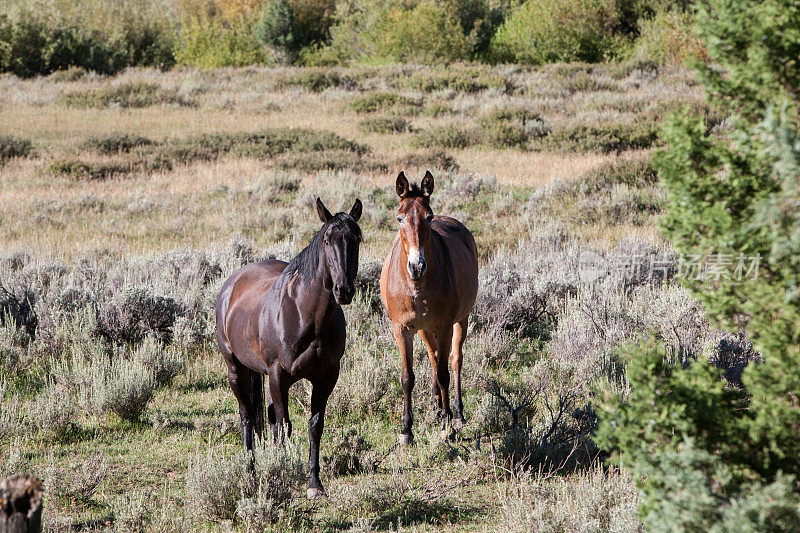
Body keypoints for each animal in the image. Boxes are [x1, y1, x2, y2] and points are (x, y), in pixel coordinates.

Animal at [214, 197, 360, 496]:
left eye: (357, 238)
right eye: (327, 240)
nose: (343, 290)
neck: (306, 315)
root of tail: (232, 283)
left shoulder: (326, 377)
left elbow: (314, 425)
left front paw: (314, 482)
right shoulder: (278, 375)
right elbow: (284, 426)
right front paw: (279, 475)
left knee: (267, 417)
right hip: (237, 370)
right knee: (248, 416)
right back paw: (250, 470)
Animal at [380, 171, 476, 444]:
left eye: (428, 217)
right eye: (400, 218)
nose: (417, 266)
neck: (417, 286)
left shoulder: (444, 327)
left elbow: (445, 373)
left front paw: (447, 426)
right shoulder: (402, 329)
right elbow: (407, 378)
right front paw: (406, 430)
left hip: (461, 320)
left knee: (454, 361)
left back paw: (456, 414)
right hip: (424, 329)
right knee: (434, 358)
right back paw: (437, 408)